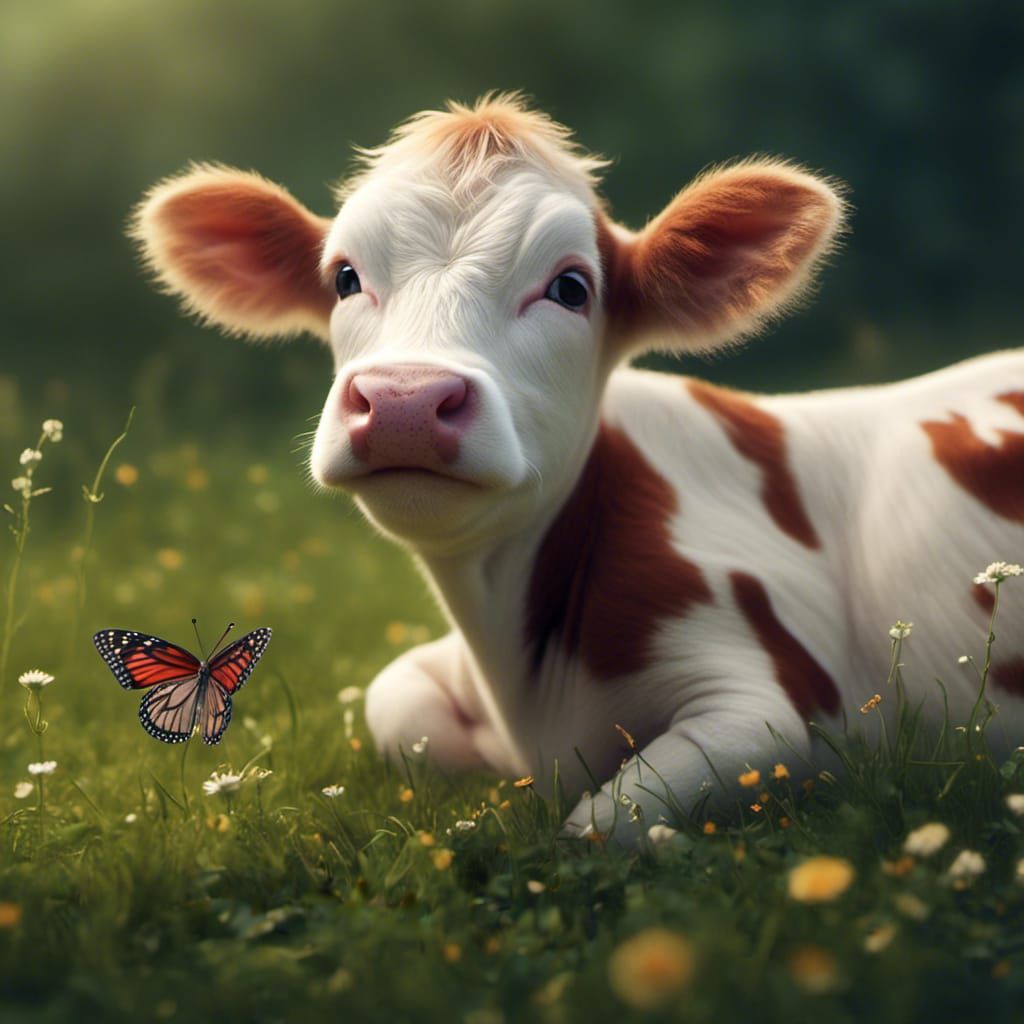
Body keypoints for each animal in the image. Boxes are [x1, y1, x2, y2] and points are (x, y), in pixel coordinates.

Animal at [132, 93, 1024, 843]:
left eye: (570, 287)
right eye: (345, 277)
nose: (405, 401)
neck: (523, 678)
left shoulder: (775, 711)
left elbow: (599, 825)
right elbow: (397, 708)